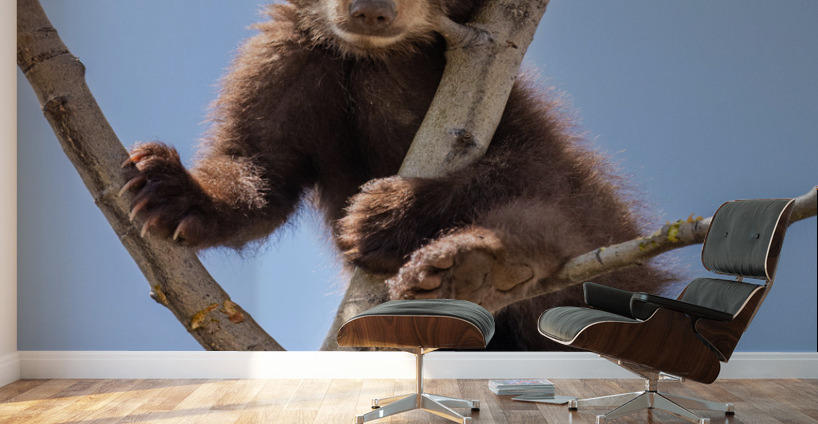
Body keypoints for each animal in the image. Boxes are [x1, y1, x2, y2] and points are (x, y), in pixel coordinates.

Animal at [122, 0, 671, 350]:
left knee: (563, 218)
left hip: (613, 255)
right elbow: (258, 168)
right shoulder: (287, 61)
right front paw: (171, 190)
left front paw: (386, 214)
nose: (371, 8)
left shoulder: (484, 72)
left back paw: (471, 263)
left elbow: (533, 162)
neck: (372, 57)